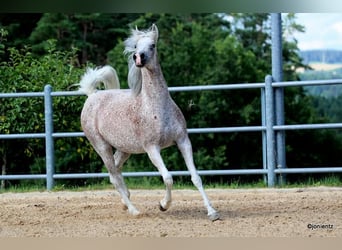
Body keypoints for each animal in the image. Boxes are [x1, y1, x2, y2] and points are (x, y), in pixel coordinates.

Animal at [79, 23, 220, 221]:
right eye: (136, 46)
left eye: (152, 45)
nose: (138, 57)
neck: (157, 107)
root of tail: (92, 95)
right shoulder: (152, 148)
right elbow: (168, 178)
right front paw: (163, 205)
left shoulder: (183, 141)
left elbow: (196, 177)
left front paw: (212, 212)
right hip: (102, 146)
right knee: (114, 176)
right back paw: (134, 210)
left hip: (124, 149)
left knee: (115, 172)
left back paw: (126, 202)